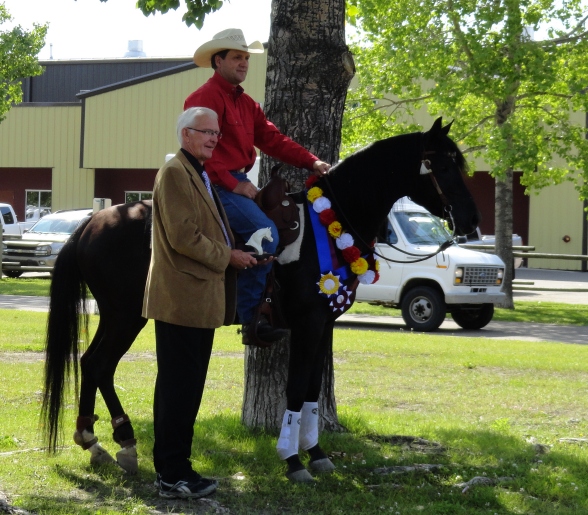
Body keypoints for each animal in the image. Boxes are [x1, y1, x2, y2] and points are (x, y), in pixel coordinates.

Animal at [42, 119, 482, 482]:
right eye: (443, 166)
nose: (472, 221)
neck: (333, 220)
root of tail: (90, 223)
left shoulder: (325, 323)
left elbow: (311, 391)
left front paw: (317, 454)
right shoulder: (307, 323)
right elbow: (296, 388)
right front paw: (292, 459)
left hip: (117, 314)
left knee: (91, 362)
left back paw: (96, 440)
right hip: (126, 315)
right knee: (101, 363)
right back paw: (121, 440)